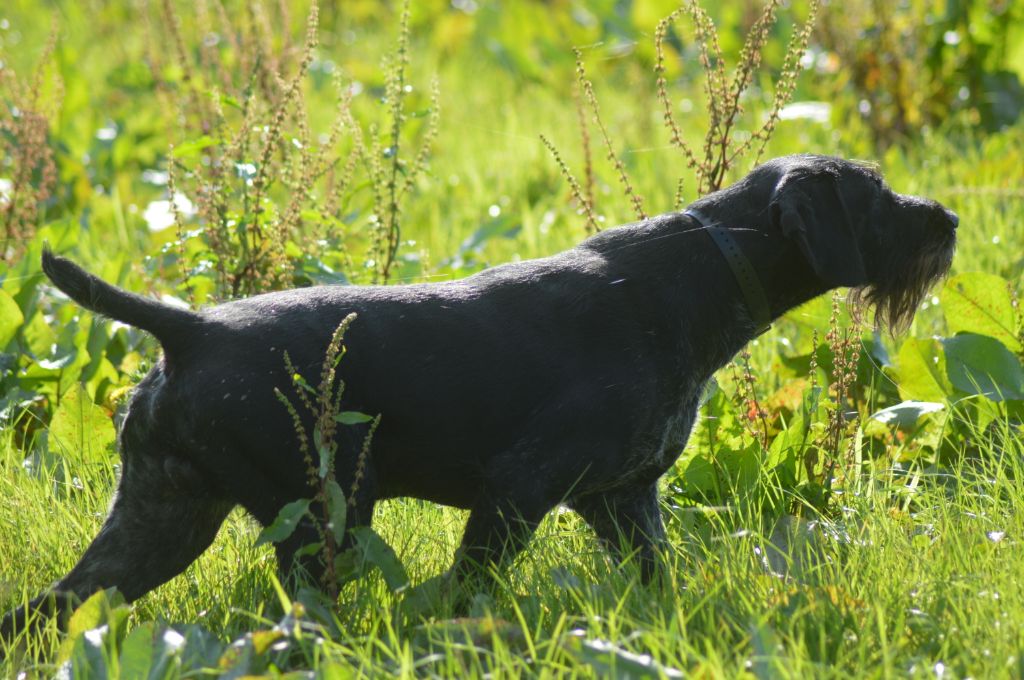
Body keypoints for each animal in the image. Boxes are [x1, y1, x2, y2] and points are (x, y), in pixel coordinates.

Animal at [0, 155, 958, 639]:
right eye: (877, 195)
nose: (948, 219)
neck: (698, 277)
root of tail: (187, 330)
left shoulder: (624, 503)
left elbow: (661, 586)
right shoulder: (517, 492)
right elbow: (463, 595)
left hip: (159, 524)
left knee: (46, 611)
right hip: (321, 523)